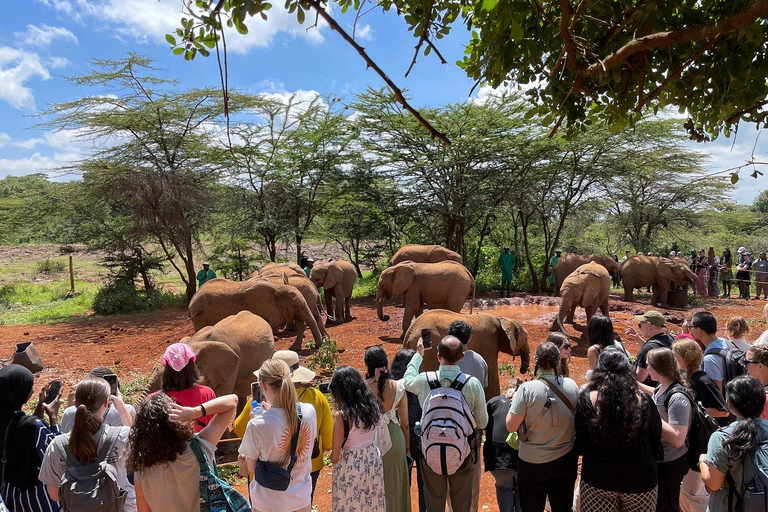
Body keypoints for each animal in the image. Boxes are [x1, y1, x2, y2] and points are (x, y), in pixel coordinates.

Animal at [192, 278, 328, 350]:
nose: (314, 346)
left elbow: (300, 322)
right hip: (201, 316)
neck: (277, 287)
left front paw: (293, 349)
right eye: (295, 306)